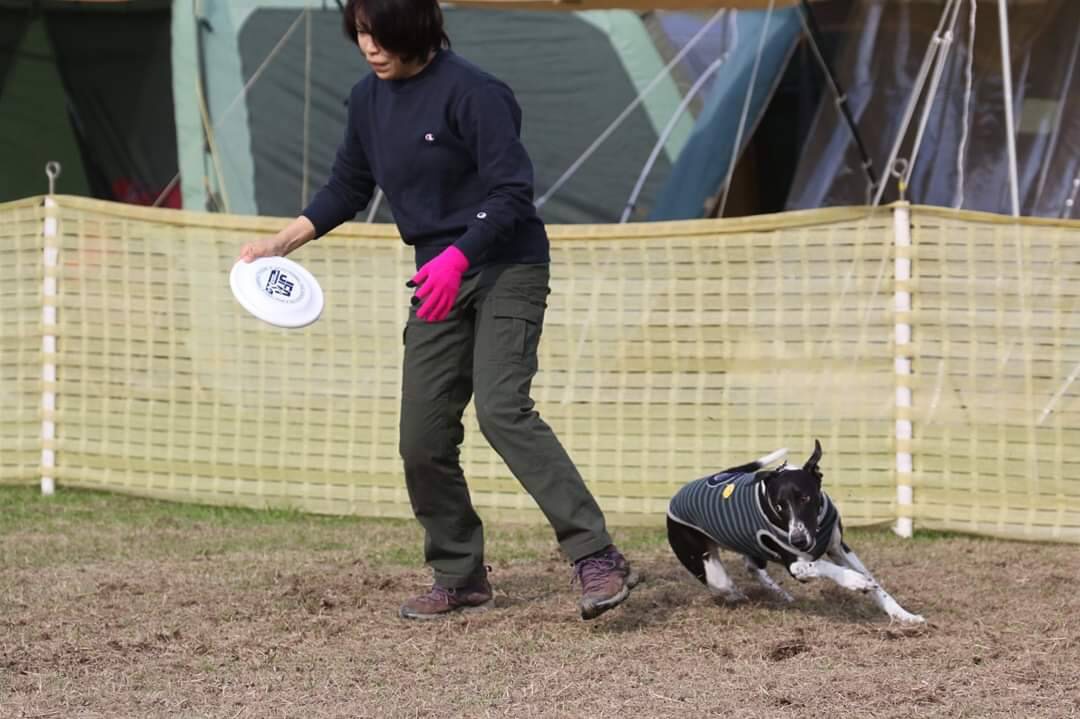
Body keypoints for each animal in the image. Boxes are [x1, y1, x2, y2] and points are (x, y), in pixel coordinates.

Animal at [669, 436, 924, 621]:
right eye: (779, 506)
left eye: (805, 498)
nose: (798, 540)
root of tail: (676, 497)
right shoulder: (796, 565)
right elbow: (822, 565)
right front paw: (855, 581)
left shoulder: (839, 549)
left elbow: (875, 583)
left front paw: (903, 614)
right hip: (707, 567)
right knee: (725, 585)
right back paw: (741, 596)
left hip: (751, 550)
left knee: (753, 568)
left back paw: (780, 595)